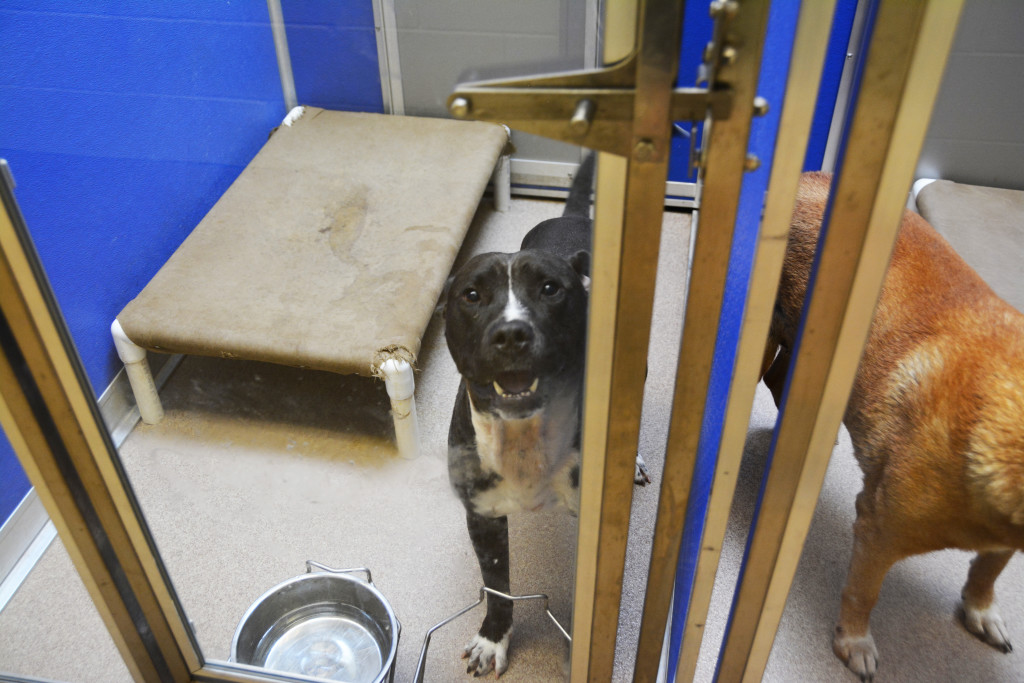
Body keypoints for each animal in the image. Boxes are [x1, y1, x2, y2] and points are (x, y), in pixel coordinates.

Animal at [442, 154, 647, 679]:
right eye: (472, 295)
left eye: (551, 290)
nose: (512, 334)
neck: (523, 435)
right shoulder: (483, 516)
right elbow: (498, 588)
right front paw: (493, 639)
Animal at [765, 171, 1019, 679]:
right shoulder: (879, 529)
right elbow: (864, 591)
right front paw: (854, 641)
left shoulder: (1003, 539)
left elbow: (989, 569)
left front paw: (981, 609)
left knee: (780, 384)